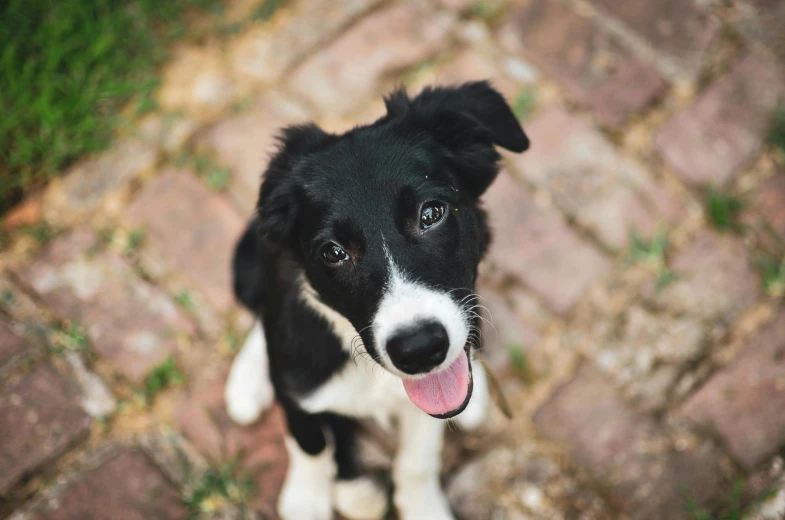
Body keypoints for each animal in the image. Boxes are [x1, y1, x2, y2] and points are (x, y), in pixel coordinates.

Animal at [222, 82, 528, 520]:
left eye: (431, 213)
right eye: (333, 253)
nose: (419, 349)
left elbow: (417, 460)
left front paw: (422, 508)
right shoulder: (299, 394)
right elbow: (310, 445)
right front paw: (307, 499)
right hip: (246, 260)